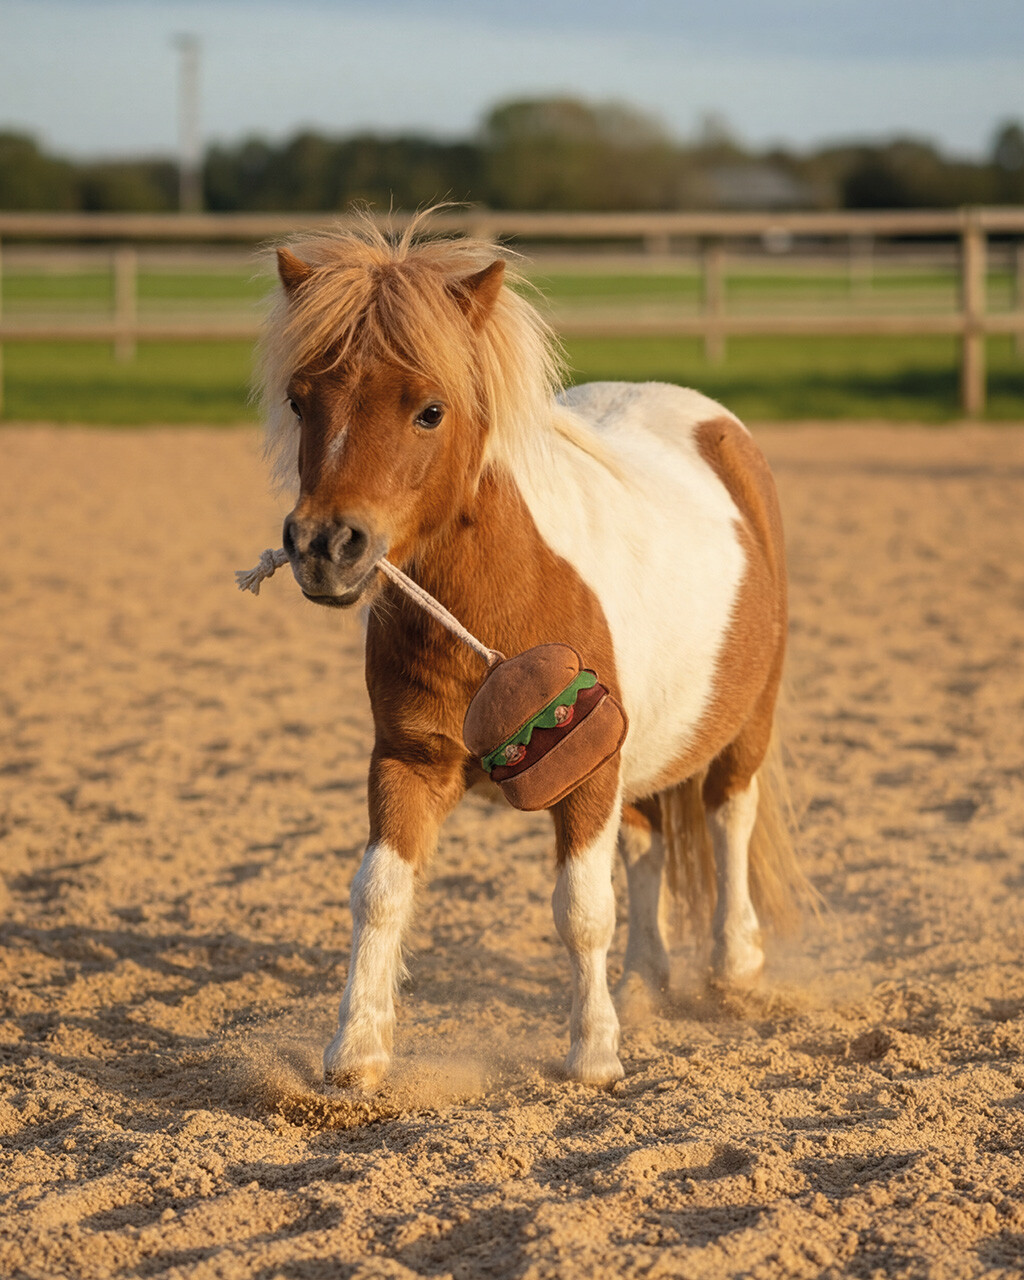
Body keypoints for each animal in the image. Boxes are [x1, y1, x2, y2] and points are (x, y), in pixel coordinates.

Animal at [256, 213, 806, 1090]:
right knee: (648, 846)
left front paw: (593, 1056)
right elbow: (379, 892)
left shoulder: (587, 774)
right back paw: (644, 986)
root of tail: (716, 426)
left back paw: (734, 970)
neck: (498, 612)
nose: (324, 547)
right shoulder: (407, 761)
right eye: (299, 400)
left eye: (430, 410)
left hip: (746, 725)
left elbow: (582, 910)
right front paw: (357, 1053)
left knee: (729, 820)